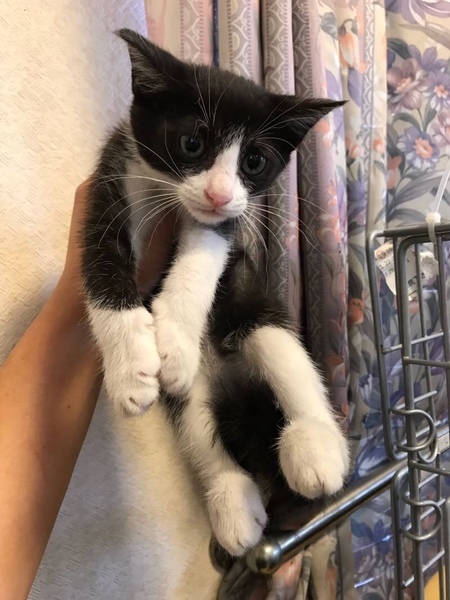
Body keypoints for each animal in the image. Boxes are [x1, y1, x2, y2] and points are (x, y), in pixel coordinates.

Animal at [82, 29, 349, 556]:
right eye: (191, 143)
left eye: (254, 161)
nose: (218, 192)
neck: (164, 192)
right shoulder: (111, 177)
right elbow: (101, 264)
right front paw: (130, 368)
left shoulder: (225, 225)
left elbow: (203, 256)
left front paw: (174, 340)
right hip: (196, 397)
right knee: (196, 422)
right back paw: (231, 501)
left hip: (252, 307)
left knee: (278, 348)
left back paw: (315, 447)